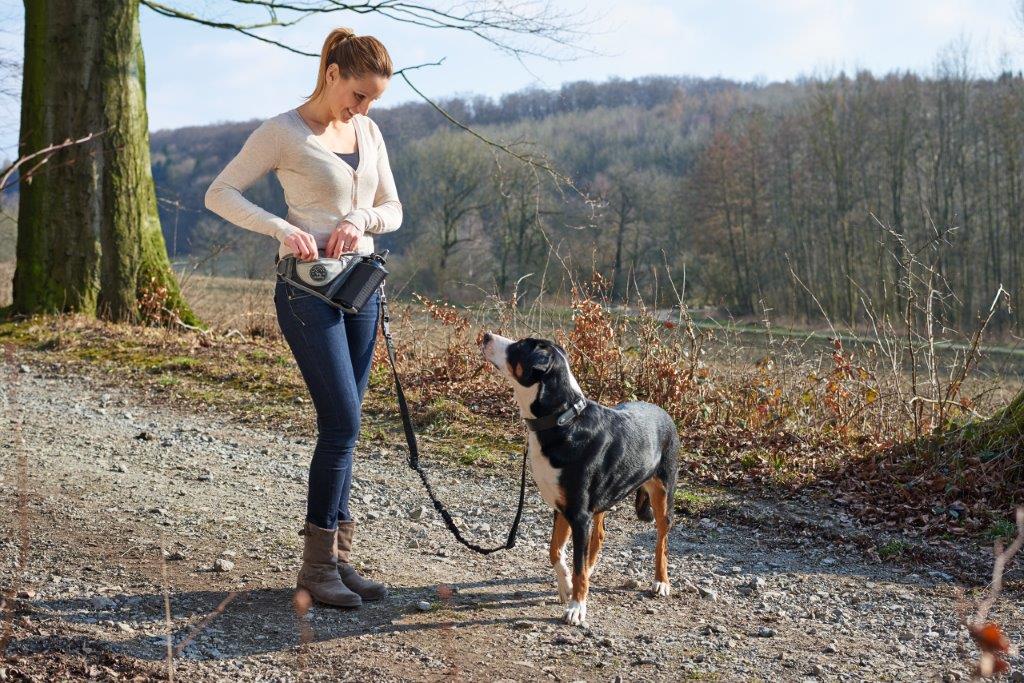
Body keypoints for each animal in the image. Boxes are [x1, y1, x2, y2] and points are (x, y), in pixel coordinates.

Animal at [479, 333, 679, 626]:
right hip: (602, 499)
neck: (562, 421)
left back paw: (661, 581)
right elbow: (556, 551)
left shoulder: (579, 514)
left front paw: (577, 607)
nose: (486, 336)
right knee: (599, 536)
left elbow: (577, 566)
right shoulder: (563, 508)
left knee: (662, 540)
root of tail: (661, 410)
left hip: (662, 493)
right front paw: (566, 588)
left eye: (519, 346)